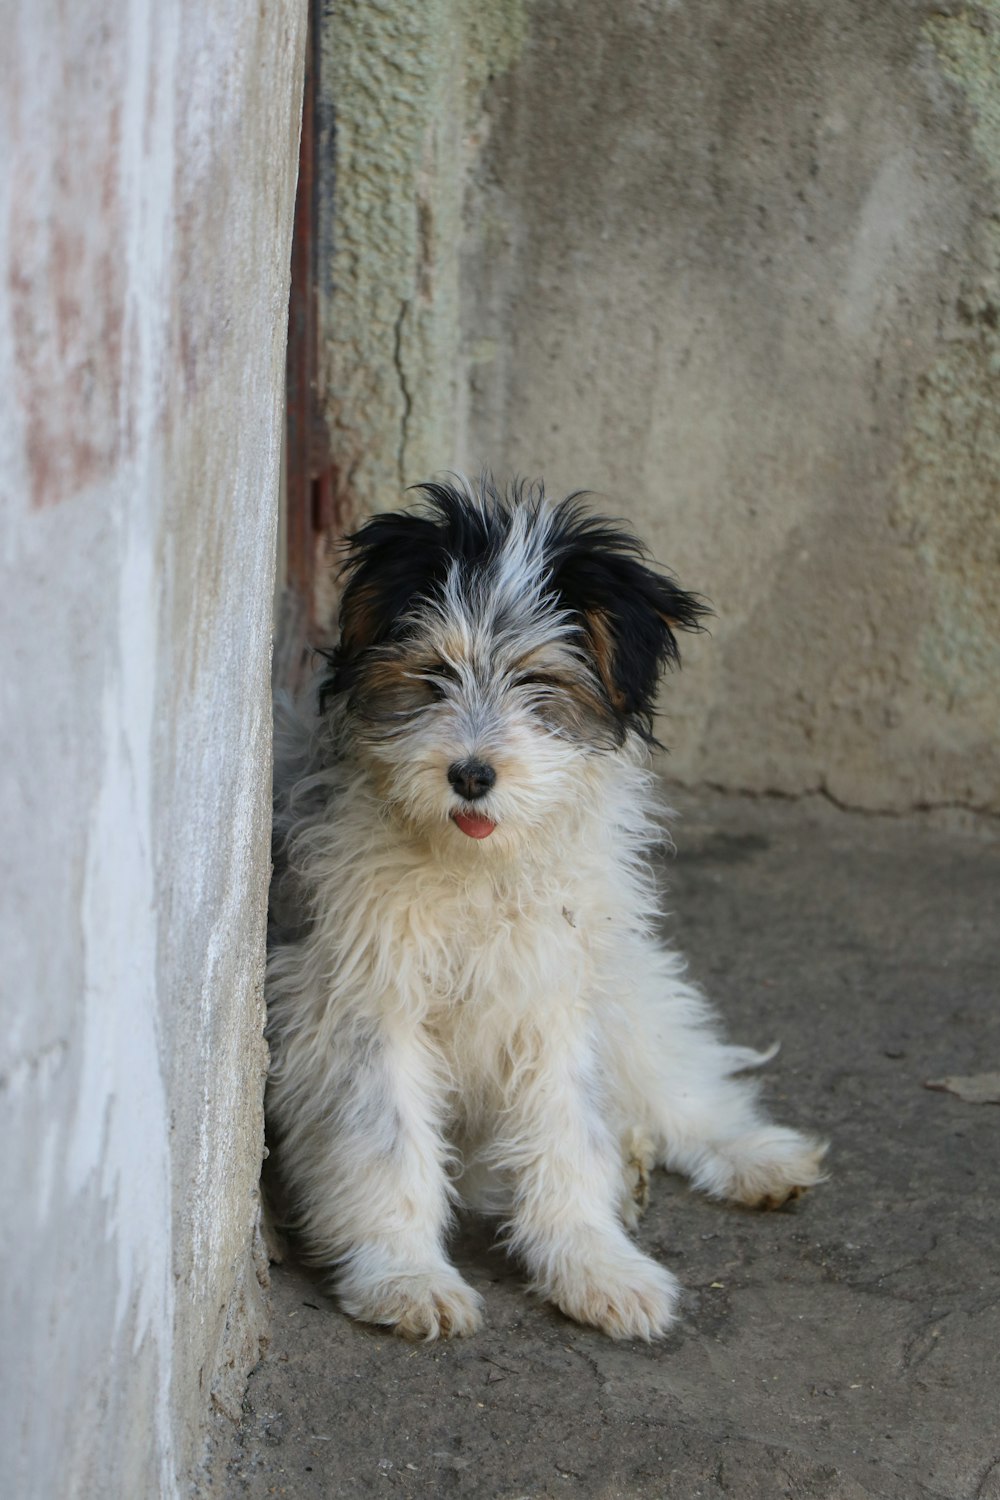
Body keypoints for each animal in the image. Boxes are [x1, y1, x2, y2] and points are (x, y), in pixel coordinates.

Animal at [263, 474, 821, 1344]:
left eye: (539, 684)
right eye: (433, 675)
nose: (470, 775)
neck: (474, 868)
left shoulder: (554, 993)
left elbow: (568, 1129)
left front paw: (594, 1263)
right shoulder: (359, 1000)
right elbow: (388, 1142)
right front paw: (406, 1276)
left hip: (628, 991)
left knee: (681, 1082)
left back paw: (753, 1156)